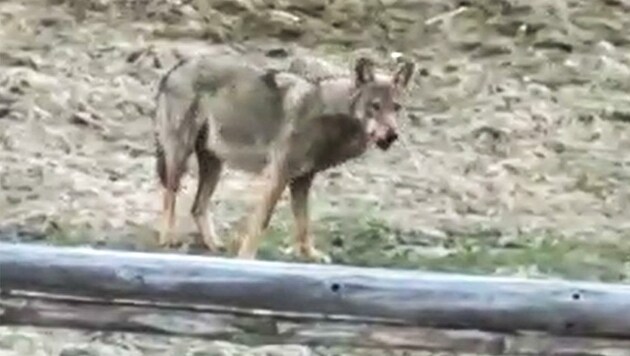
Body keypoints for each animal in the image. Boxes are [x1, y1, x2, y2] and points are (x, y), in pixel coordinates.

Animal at [153, 52, 418, 258]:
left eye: (396, 108)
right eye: (375, 106)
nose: (391, 135)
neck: (329, 115)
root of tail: (176, 67)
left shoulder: (302, 181)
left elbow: (304, 223)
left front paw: (310, 255)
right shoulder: (278, 175)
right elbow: (261, 222)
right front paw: (247, 257)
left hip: (214, 164)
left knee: (197, 207)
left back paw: (214, 245)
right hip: (180, 156)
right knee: (169, 196)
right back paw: (167, 239)